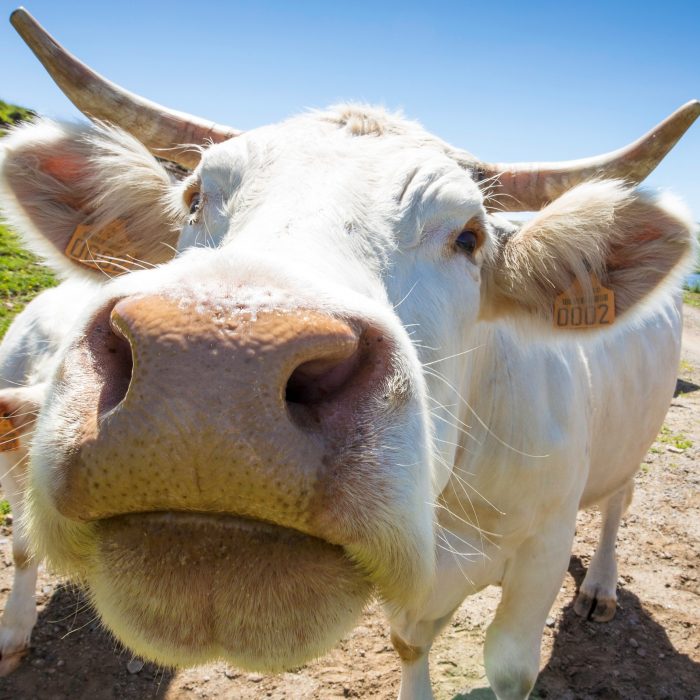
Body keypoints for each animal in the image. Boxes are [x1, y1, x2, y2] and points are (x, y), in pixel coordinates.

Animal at [1, 8, 700, 696]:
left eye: (469, 236)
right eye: (194, 198)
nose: (213, 367)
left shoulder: (542, 549)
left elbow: (510, 668)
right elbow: (410, 643)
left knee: (617, 502)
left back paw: (601, 585)